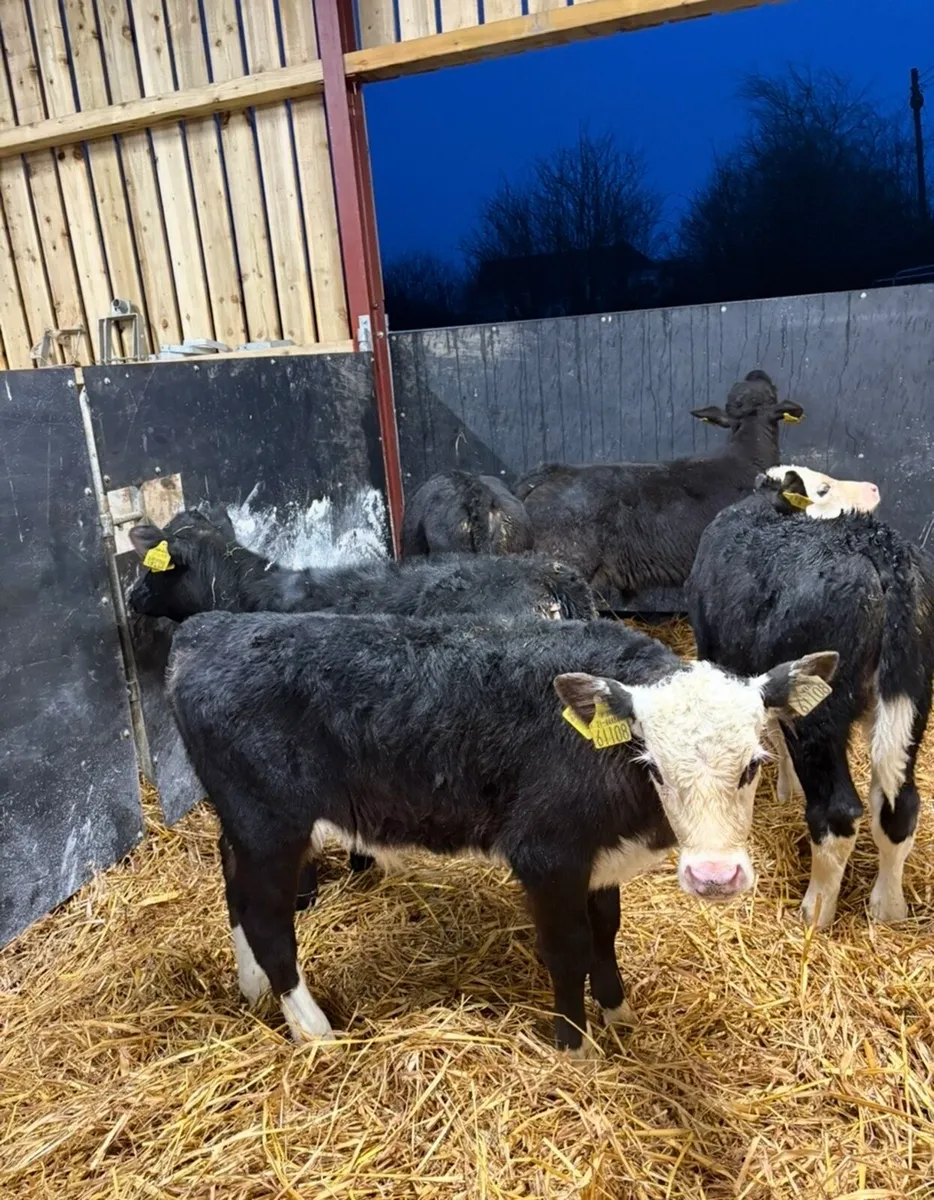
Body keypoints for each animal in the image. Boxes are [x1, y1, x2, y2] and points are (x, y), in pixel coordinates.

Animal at [167, 609, 837, 1053]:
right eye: (654, 767)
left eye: (753, 764)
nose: (714, 876)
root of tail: (207, 630)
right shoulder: (546, 856)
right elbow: (567, 950)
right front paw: (574, 1044)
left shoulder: (598, 860)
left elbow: (605, 934)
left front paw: (617, 1013)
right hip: (271, 825)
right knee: (268, 920)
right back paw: (313, 1028)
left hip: (242, 824)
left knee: (236, 889)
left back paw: (253, 987)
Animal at [687, 490, 934, 929]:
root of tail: (879, 548)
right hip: (913, 699)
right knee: (898, 805)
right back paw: (888, 909)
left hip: (820, 710)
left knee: (837, 813)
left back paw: (815, 910)